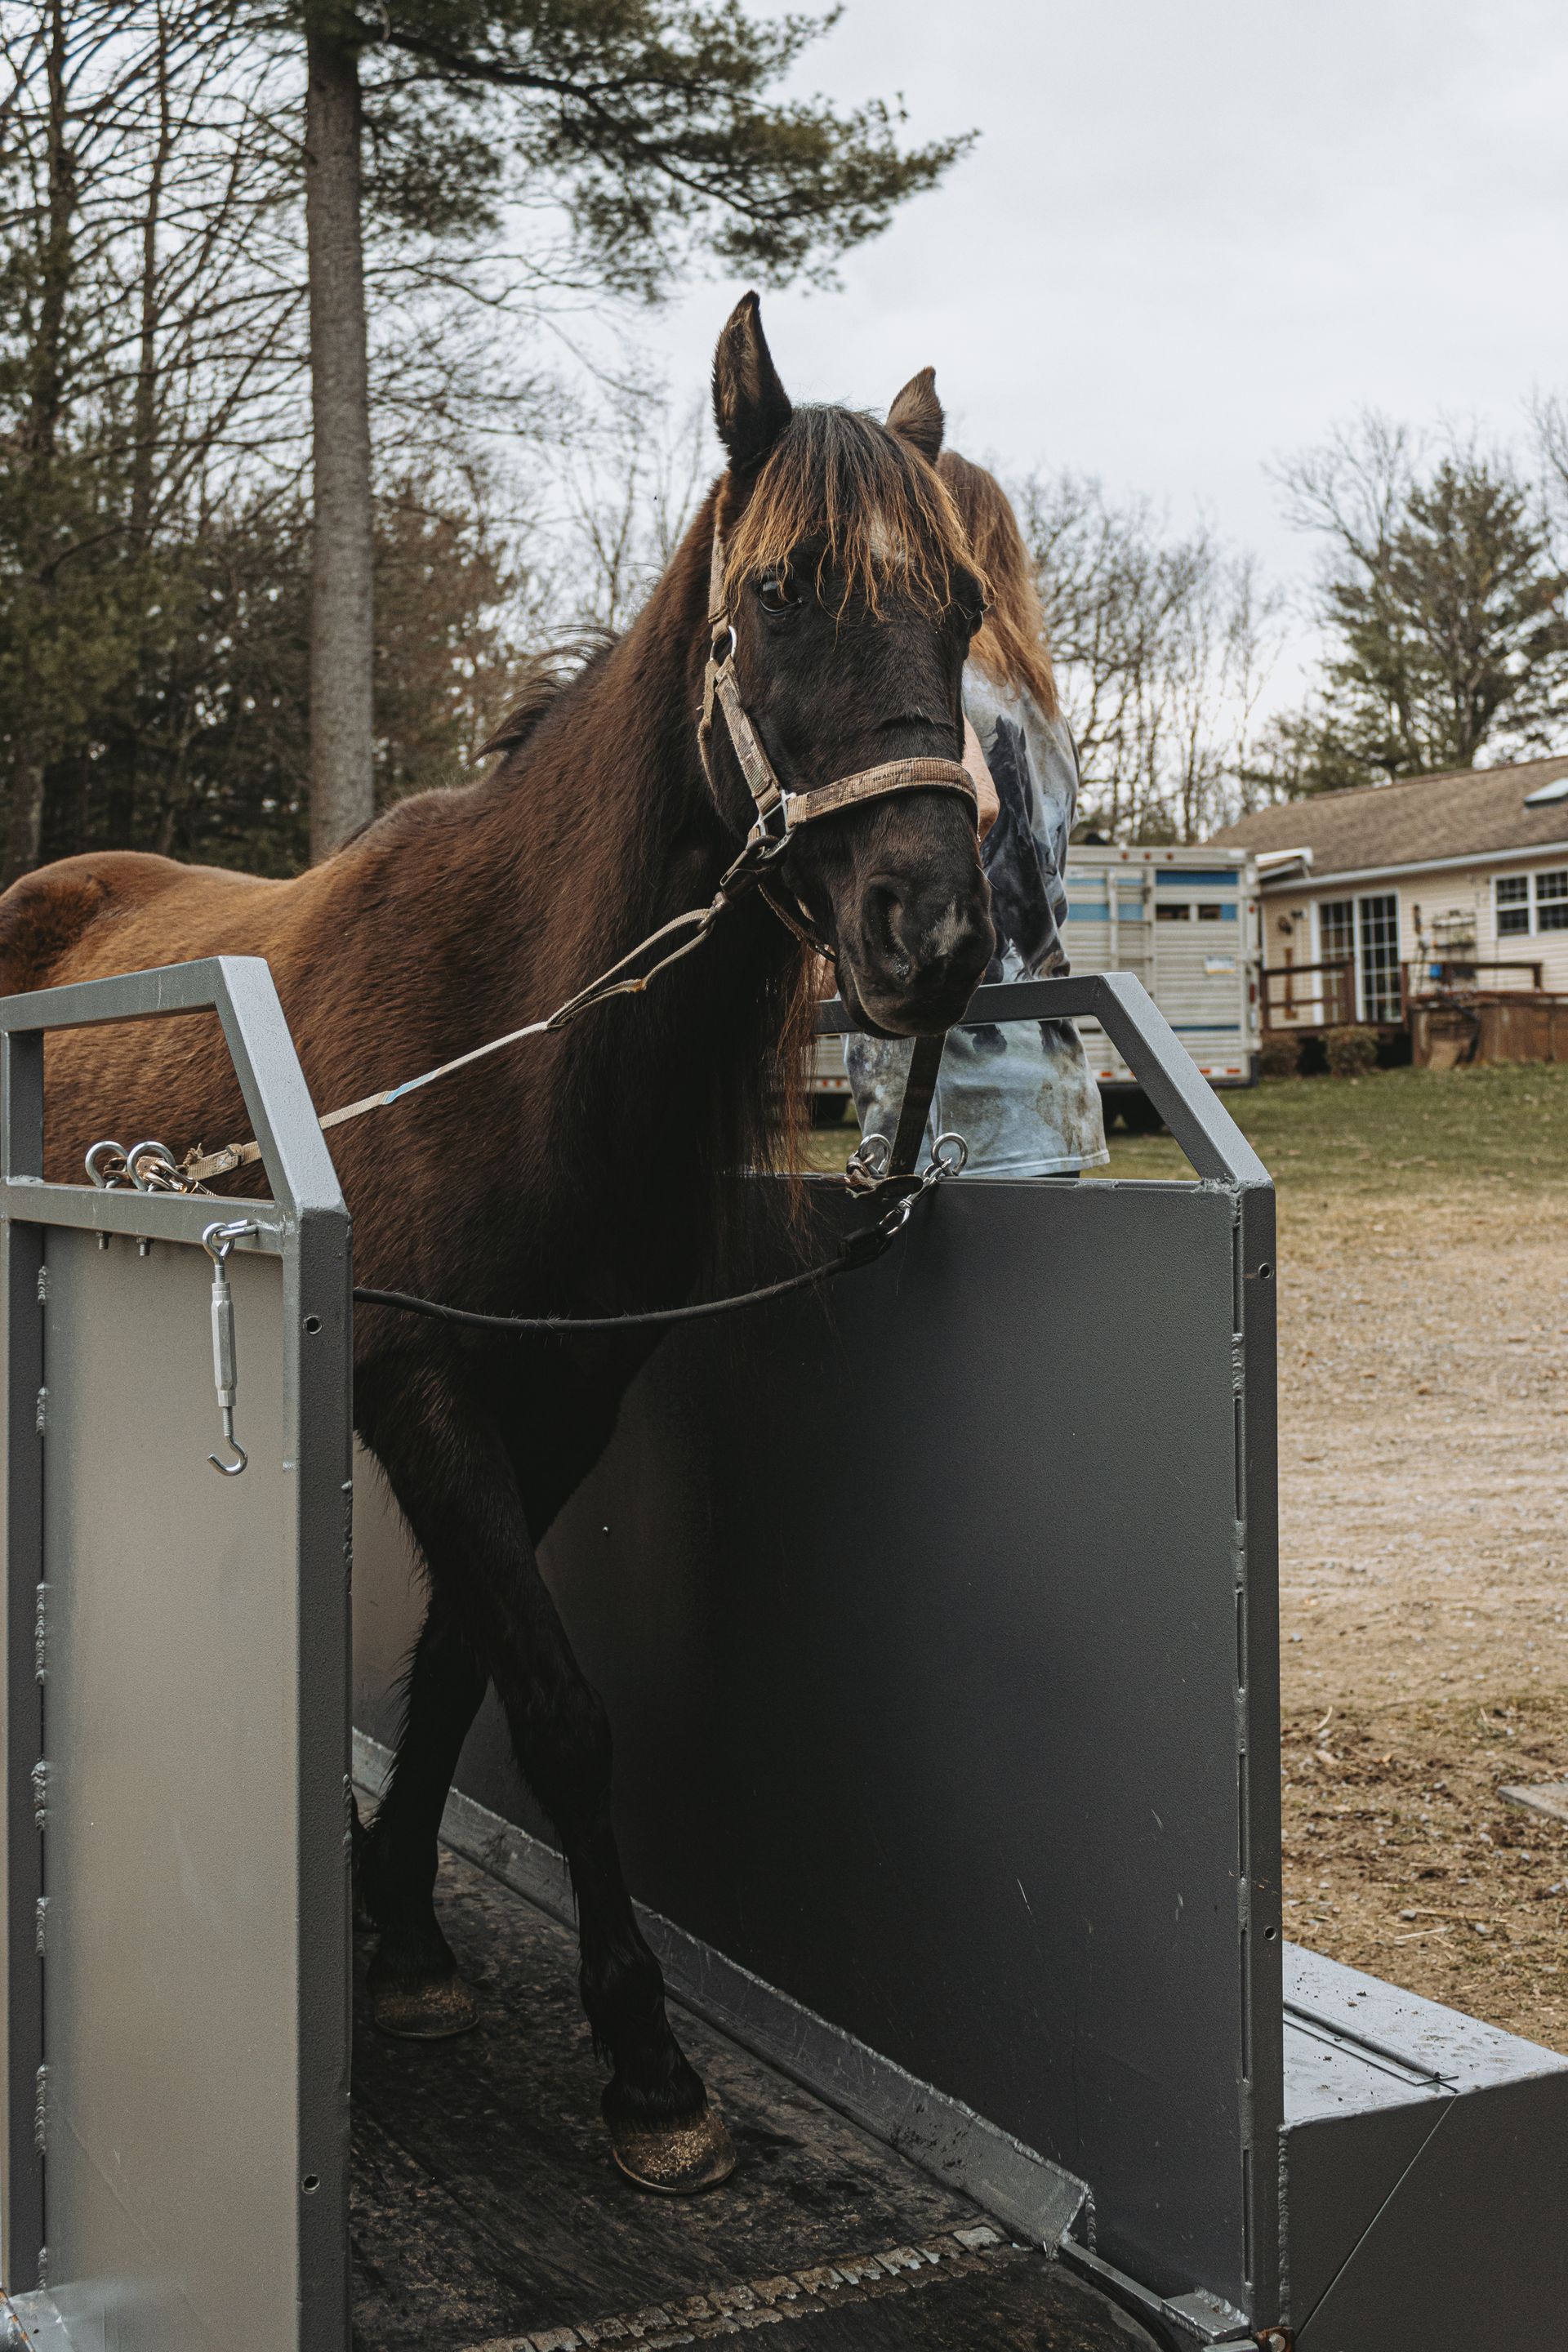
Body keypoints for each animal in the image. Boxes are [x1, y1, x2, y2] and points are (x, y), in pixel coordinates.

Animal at [2, 303, 991, 2192]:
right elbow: (559, 1709)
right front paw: (649, 2067)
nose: (936, 931)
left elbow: (468, 1671)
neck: (513, 1025)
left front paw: (402, 1935)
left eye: (965, 608)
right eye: (778, 593)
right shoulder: (426, 1389)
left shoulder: (556, 1404)